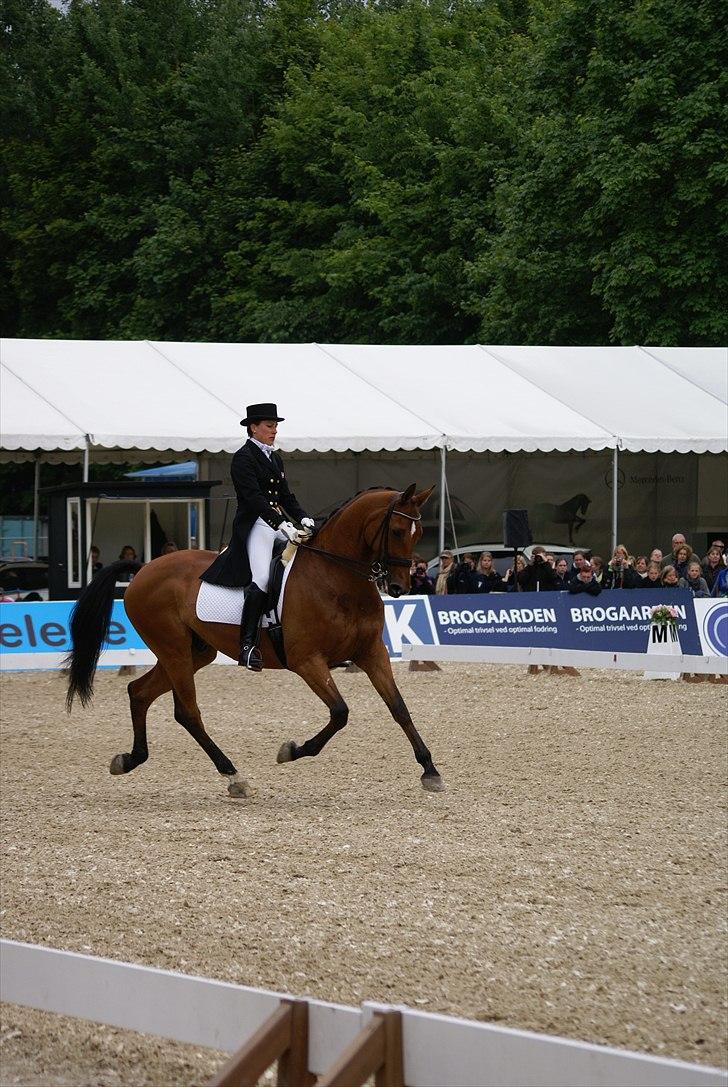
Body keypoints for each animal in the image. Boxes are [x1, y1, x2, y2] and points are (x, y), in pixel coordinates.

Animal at [64, 484, 445, 800]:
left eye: (418, 534)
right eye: (397, 531)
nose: (398, 587)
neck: (337, 579)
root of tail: (144, 568)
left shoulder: (372, 653)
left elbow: (399, 708)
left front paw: (430, 770)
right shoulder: (308, 661)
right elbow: (340, 713)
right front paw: (291, 751)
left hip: (194, 653)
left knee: (140, 692)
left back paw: (130, 759)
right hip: (174, 651)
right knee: (187, 712)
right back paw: (234, 776)